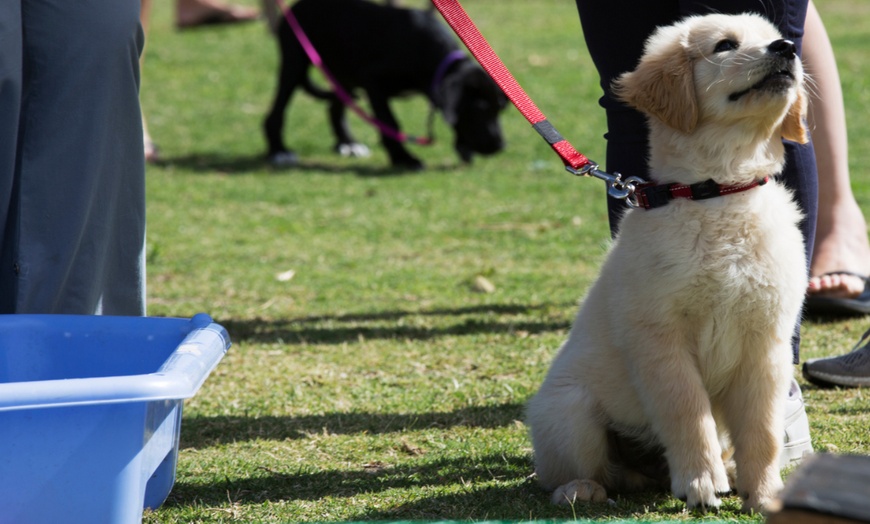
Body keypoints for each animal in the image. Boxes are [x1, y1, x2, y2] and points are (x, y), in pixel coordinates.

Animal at [268, 0, 510, 169]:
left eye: (499, 109)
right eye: (480, 109)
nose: (499, 146)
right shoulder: (373, 82)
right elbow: (389, 122)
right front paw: (404, 158)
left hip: (344, 77)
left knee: (335, 108)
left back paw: (347, 143)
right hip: (294, 62)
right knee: (276, 113)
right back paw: (279, 151)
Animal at [528, 12, 816, 512]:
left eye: (774, 36)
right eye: (725, 45)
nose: (786, 48)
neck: (719, 193)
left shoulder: (767, 341)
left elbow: (762, 430)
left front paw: (764, 493)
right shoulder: (660, 338)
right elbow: (687, 411)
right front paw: (701, 482)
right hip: (569, 411)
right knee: (581, 470)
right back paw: (580, 488)